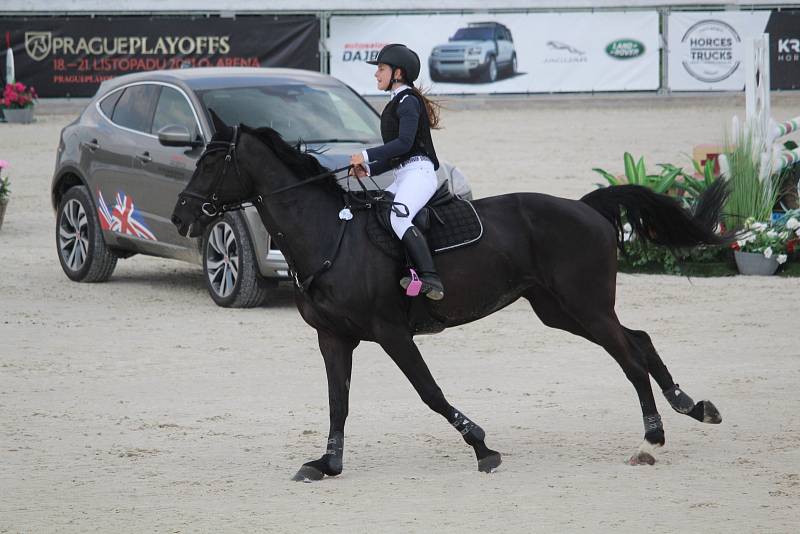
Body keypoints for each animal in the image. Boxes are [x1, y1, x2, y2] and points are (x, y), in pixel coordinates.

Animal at [173, 113, 732, 482]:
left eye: (212, 163)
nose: (181, 216)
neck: (331, 234)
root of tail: (585, 206)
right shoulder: (333, 338)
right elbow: (338, 402)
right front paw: (327, 463)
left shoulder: (392, 334)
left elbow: (430, 393)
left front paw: (482, 446)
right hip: (560, 310)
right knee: (639, 339)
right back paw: (692, 407)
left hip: (586, 307)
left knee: (629, 356)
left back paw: (653, 436)